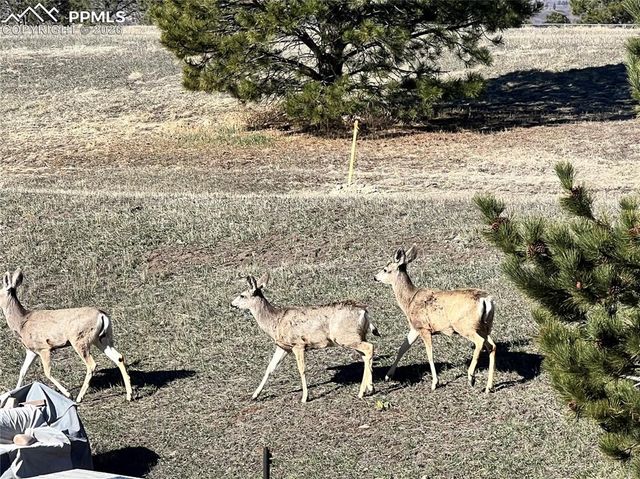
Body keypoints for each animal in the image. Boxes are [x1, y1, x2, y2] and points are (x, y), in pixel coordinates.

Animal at [0, 269, 133, 403]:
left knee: (91, 364)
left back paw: (79, 397)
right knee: (119, 357)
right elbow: (23, 371)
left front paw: (68, 394)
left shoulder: (44, 347)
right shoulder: (31, 350)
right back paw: (129, 395)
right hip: (102, 339)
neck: (22, 322)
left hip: (80, 340)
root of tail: (102, 315)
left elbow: (47, 372)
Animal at [231, 273, 379, 403]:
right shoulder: (283, 347)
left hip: (346, 337)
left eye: (242, 295)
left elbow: (301, 369)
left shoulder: (298, 344)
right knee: (366, 355)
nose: (232, 304)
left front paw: (304, 397)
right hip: (357, 336)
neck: (275, 321)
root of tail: (364, 311)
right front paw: (255, 395)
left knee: (370, 348)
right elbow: (270, 368)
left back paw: (361, 392)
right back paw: (370, 388)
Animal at [374, 245, 497, 393]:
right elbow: (403, 348)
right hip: (485, 326)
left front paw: (434, 383)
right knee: (492, 346)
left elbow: (430, 354)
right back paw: (489, 386)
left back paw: (471, 377)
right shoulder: (415, 327)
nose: (375, 277)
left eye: (385, 269)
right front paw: (388, 376)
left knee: (480, 342)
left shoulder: (424, 328)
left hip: (465, 325)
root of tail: (486, 300)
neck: (409, 301)